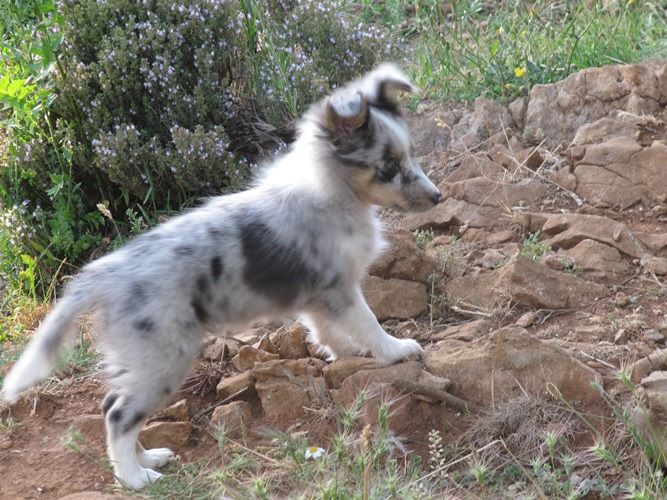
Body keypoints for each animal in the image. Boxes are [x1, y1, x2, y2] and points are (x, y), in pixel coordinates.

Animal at [1, 64, 444, 490]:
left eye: (410, 155)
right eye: (389, 167)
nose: (437, 197)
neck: (332, 190)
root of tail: (103, 274)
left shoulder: (319, 293)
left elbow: (326, 331)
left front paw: (345, 352)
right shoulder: (340, 290)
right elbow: (369, 323)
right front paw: (396, 350)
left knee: (113, 406)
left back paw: (149, 458)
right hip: (163, 358)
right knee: (118, 415)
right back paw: (135, 478)